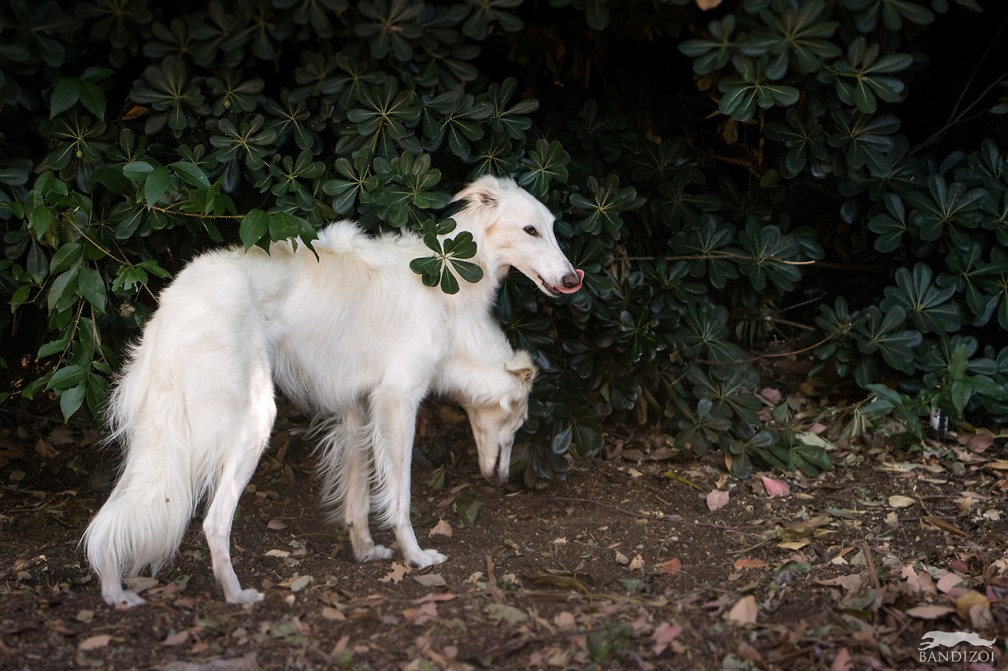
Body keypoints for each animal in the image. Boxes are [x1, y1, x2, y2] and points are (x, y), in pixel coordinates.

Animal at [83, 175, 584, 607]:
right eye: (530, 230)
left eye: (552, 228)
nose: (572, 278)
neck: (446, 278)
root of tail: (179, 298)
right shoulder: (398, 400)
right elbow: (399, 496)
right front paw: (416, 557)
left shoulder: (356, 411)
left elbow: (357, 498)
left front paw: (365, 551)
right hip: (252, 419)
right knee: (212, 521)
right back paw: (236, 594)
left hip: (157, 435)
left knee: (111, 517)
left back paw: (114, 591)